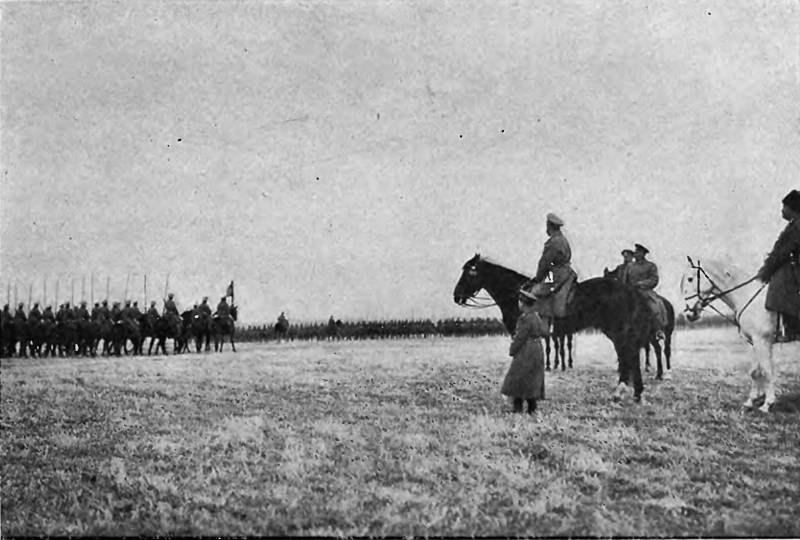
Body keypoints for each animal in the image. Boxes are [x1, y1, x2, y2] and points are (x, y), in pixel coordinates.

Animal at [454, 253, 652, 400]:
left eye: (470, 273)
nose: (456, 296)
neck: (517, 294)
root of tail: (629, 290)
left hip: (618, 331)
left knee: (629, 356)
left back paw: (623, 391)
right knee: (628, 356)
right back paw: (634, 393)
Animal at [680, 258, 780, 414]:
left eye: (690, 279)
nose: (689, 313)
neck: (746, 294)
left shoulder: (762, 341)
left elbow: (767, 371)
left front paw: (767, 404)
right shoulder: (754, 342)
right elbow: (755, 372)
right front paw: (751, 401)